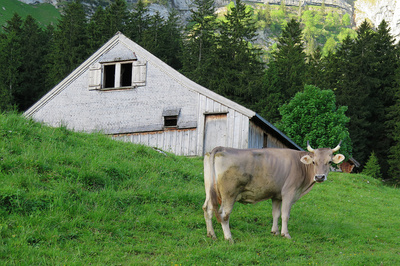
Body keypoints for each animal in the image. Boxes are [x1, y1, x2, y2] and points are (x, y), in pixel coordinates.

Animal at [202, 141, 346, 243]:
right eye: (314, 162)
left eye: (329, 162)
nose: (320, 177)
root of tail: (221, 148)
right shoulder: (288, 193)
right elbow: (285, 215)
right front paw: (285, 234)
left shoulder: (277, 196)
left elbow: (276, 214)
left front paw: (275, 232)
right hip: (229, 194)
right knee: (224, 214)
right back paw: (229, 238)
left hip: (209, 190)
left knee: (207, 209)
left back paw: (212, 235)